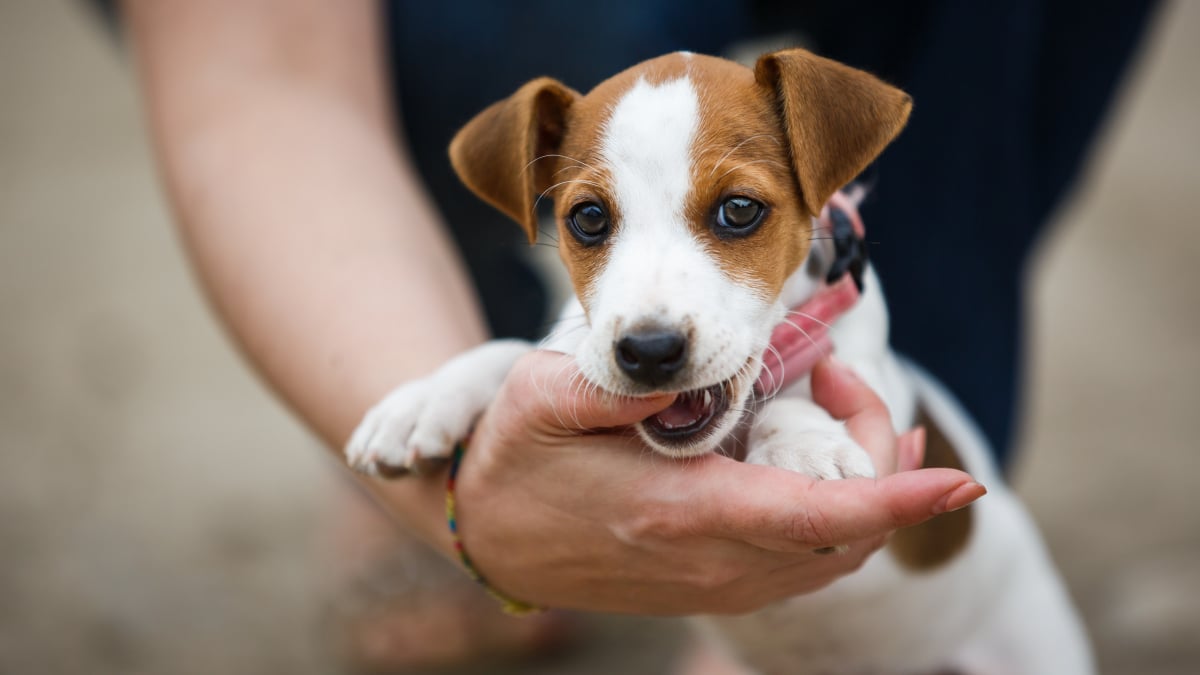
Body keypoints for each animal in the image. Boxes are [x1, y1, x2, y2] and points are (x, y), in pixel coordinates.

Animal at [343, 48, 1094, 672]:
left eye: (739, 209)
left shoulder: (872, 378)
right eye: (588, 218)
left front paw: (803, 447)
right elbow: (512, 353)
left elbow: (804, 392)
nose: (648, 351)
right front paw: (421, 402)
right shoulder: (575, 347)